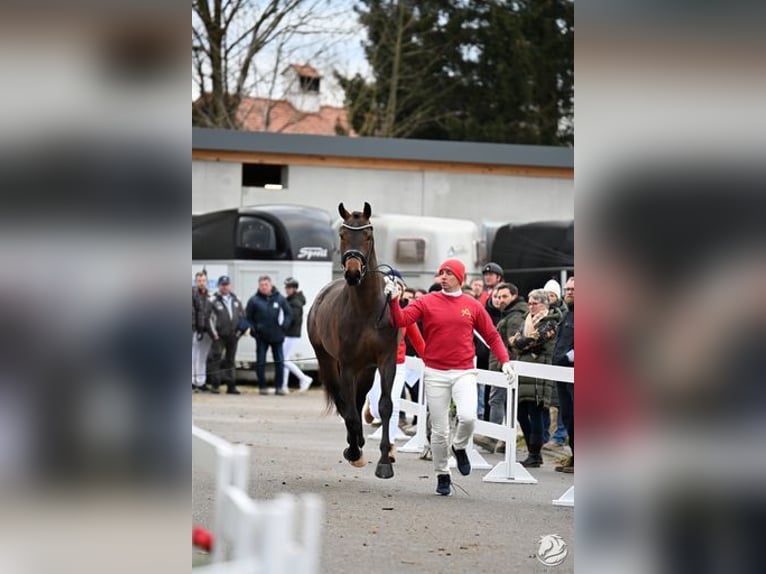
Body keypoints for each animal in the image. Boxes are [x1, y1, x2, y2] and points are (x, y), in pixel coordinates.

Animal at [306, 202, 402, 482]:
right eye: (342, 234)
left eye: (368, 235)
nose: (352, 273)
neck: (367, 310)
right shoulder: (347, 365)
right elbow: (348, 408)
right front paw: (354, 451)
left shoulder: (385, 362)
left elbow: (385, 406)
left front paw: (384, 462)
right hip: (328, 361)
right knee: (344, 402)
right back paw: (354, 446)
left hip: (366, 370)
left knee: (358, 401)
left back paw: (358, 440)